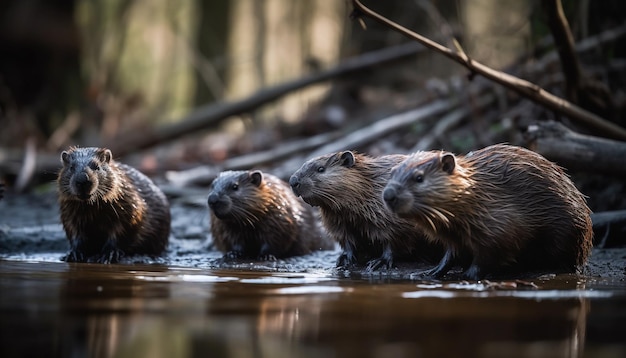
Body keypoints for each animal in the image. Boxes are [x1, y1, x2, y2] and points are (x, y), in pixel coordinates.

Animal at [206, 171, 334, 260]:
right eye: (212, 185)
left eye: (235, 186)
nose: (213, 199)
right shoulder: (225, 227)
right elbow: (232, 241)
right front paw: (232, 254)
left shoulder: (279, 219)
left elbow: (276, 240)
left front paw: (266, 256)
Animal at [290, 150, 442, 270]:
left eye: (321, 169)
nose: (293, 181)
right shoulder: (338, 220)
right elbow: (347, 239)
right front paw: (344, 259)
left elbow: (393, 238)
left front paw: (379, 262)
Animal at [382, 143, 592, 280]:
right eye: (392, 173)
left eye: (419, 178)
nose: (388, 195)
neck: (478, 193)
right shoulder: (455, 233)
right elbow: (452, 253)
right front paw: (428, 272)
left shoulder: (501, 221)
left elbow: (494, 250)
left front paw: (467, 275)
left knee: (571, 261)